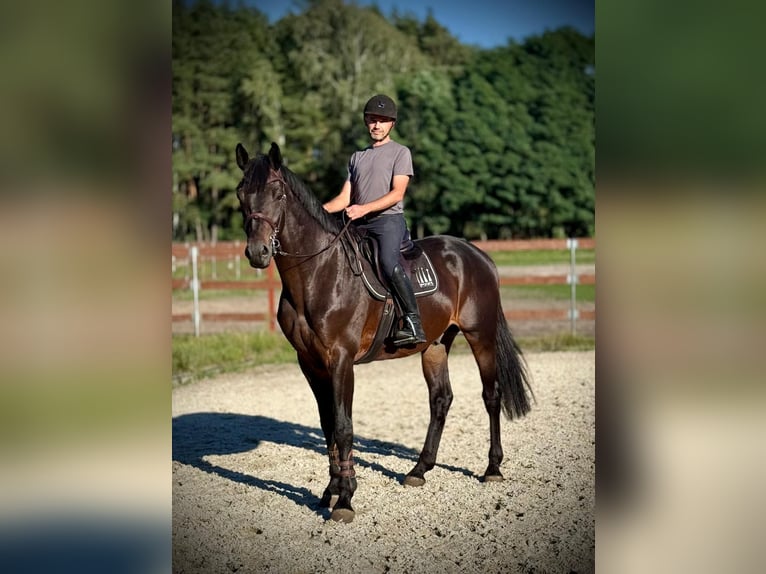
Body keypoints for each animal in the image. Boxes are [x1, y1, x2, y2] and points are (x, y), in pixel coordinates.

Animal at [235, 142, 533, 523]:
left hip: (480, 335)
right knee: (440, 399)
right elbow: (328, 425)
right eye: (241, 193)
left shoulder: (340, 359)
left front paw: (345, 499)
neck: (318, 273)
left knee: (491, 395)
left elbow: (344, 426)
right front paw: (330, 491)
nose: (257, 253)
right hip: (435, 344)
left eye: (277, 193)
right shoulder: (310, 363)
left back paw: (492, 468)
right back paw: (419, 470)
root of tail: (476, 254)